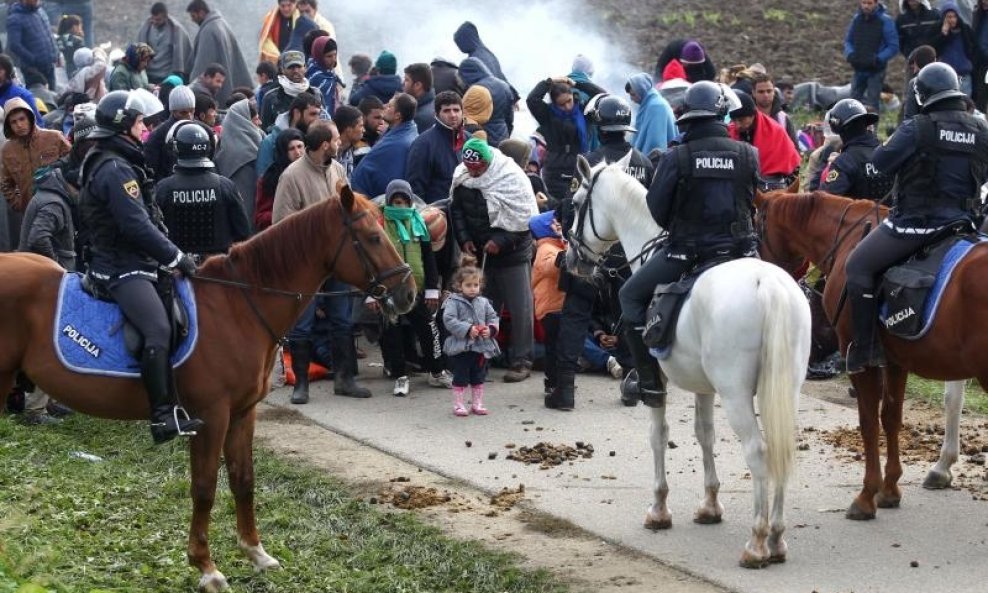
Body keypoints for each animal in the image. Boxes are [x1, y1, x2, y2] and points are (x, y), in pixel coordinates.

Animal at [0, 188, 414, 588]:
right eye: (373, 237)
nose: (408, 292)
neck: (237, 305)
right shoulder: (211, 416)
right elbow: (205, 487)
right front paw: (206, 566)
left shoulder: (243, 413)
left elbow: (243, 480)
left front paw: (255, 552)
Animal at [568, 158, 816, 568]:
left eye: (575, 204)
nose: (571, 259)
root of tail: (769, 286)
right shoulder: (704, 387)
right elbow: (705, 434)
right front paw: (710, 505)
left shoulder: (658, 383)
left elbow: (658, 435)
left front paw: (659, 509)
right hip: (784, 389)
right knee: (781, 448)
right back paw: (778, 538)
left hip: (736, 394)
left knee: (758, 451)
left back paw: (757, 541)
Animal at [752, 192, 984, 520]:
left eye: (756, 230)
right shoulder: (896, 360)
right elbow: (891, 417)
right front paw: (890, 489)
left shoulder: (860, 361)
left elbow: (869, 421)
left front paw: (866, 496)